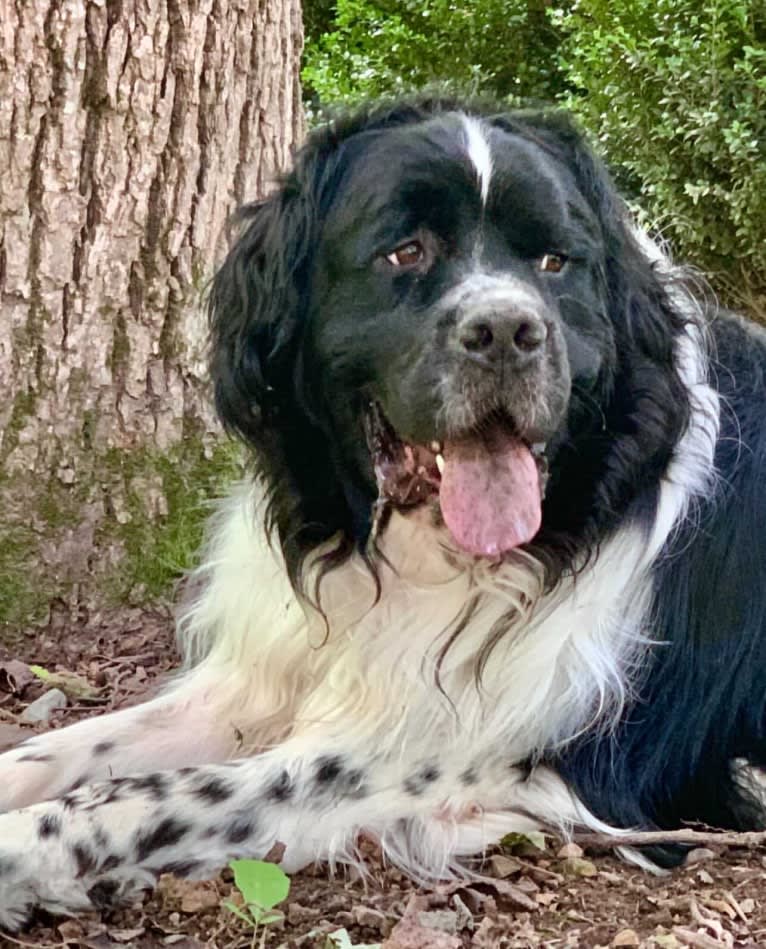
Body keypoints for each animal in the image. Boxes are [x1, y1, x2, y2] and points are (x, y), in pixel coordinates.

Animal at [1, 98, 766, 932]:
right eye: (405, 252)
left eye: (554, 263)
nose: (507, 330)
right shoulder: (263, 674)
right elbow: (74, 746)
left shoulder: (467, 760)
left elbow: (152, 796)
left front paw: (21, 847)